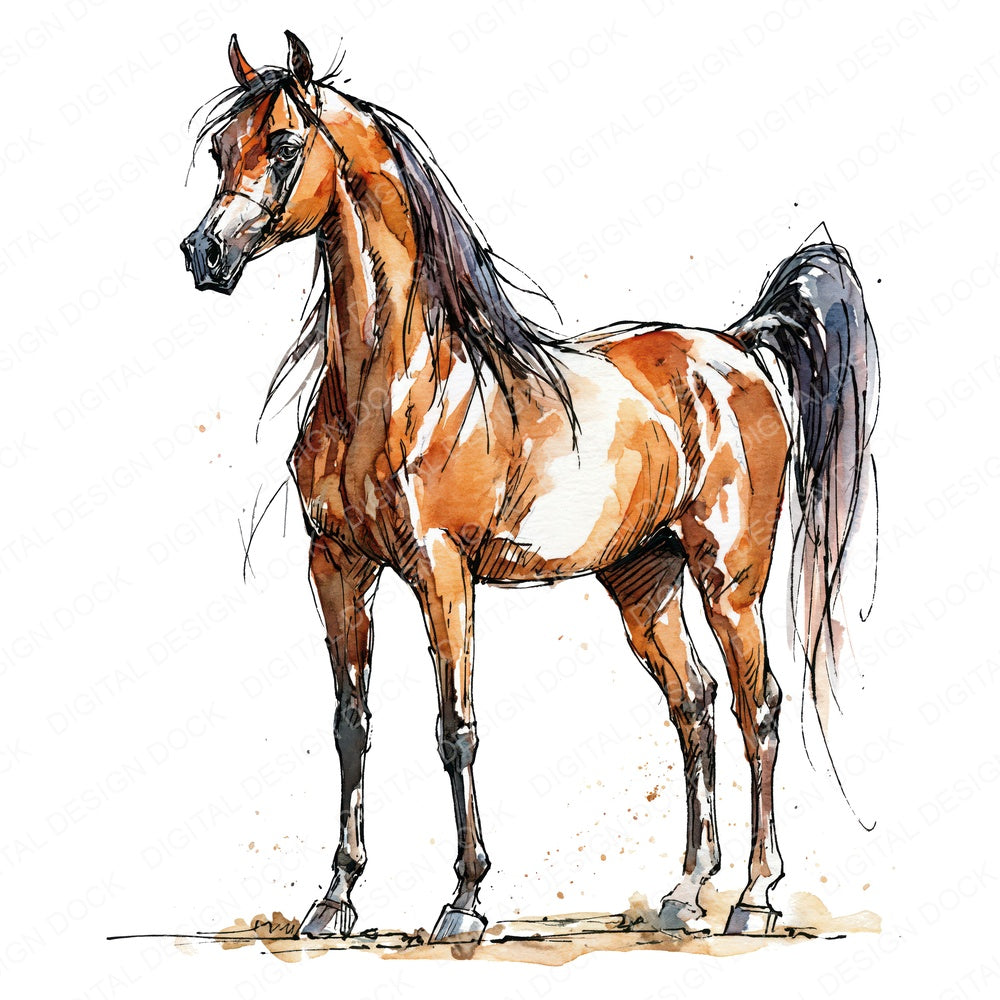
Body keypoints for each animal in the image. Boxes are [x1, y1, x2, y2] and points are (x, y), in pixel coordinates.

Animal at [181, 31, 878, 943]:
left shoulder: (441, 572)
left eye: (287, 145)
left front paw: (465, 901)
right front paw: (334, 899)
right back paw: (686, 892)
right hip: (644, 581)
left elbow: (455, 728)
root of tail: (734, 346)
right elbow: (349, 725)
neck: (402, 381)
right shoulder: (336, 565)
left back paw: (755, 898)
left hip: (730, 581)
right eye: (220, 149)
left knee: (757, 709)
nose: (203, 254)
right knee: (692, 705)